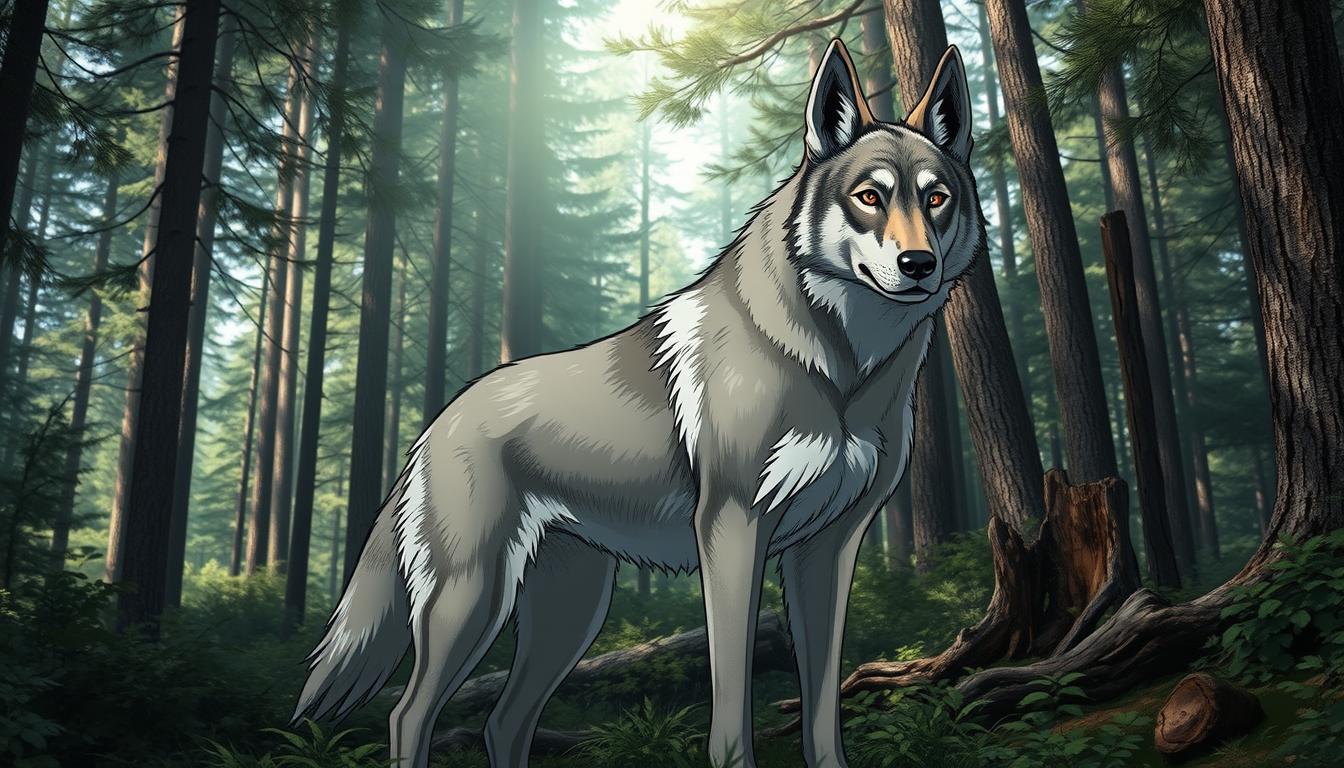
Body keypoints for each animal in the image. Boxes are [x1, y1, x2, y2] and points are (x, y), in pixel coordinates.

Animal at [294, 38, 982, 768]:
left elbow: (823, 707)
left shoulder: (829, 549)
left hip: (569, 614)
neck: (842, 367)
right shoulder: (733, 531)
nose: (918, 264)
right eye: (869, 197)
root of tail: (434, 425)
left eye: (936, 198)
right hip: (473, 600)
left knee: (502, 722)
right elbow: (731, 704)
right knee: (408, 714)